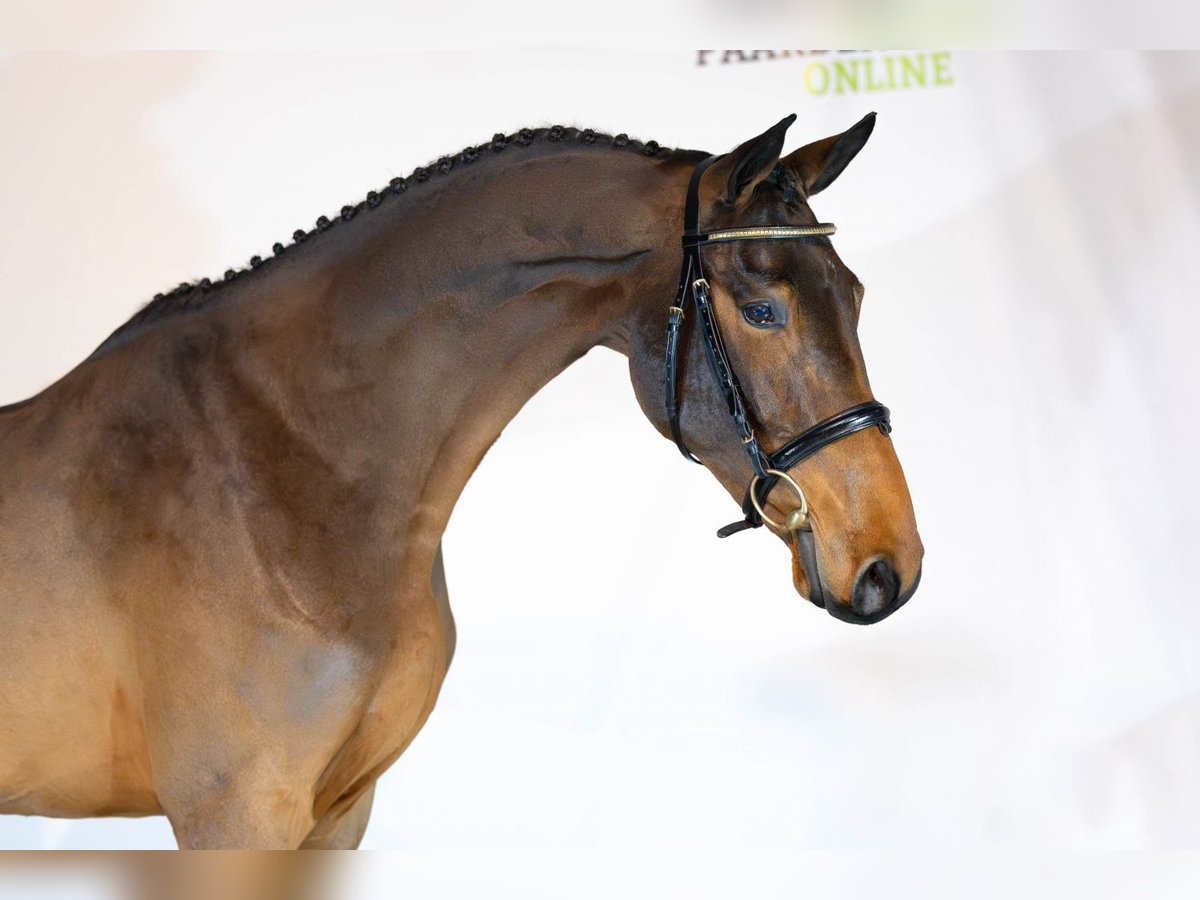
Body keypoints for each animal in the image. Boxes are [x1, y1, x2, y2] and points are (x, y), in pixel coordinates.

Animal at [0, 114, 923, 848]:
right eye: (763, 310)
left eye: (854, 294)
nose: (889, 565)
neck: (283, 473)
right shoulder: (232, 815)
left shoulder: (340, 812)